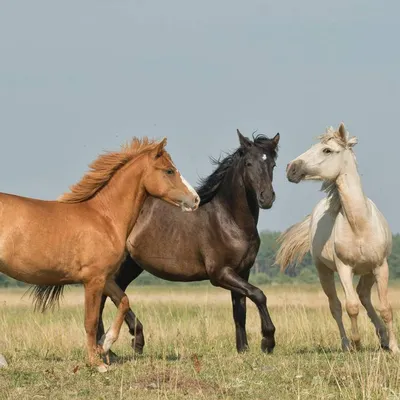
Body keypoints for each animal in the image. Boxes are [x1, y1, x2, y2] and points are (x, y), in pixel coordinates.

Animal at [0, 138, 198, 372]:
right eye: (169, 170)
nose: (195, 199)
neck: (105, 218)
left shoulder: (105, 278)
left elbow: (124, 301)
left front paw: (105, 345)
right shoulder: (93, 280)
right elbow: (91, 321)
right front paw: (97, 363)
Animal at [95, 129, 280, 356]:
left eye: (272, 164)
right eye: (248, 163)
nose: (267, 198)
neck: (228, 220)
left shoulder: (242, 272)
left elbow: (240, 310)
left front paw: (243, 349)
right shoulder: (220, 274)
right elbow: (258, 294)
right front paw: (267, 341)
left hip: (131, 265)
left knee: (112, 294)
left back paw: (115, 346)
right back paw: (120, 343)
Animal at [276, 122, 398, 354]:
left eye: (327, 150)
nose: (290, 168)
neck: (360, 225)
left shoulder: (381, 266)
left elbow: (386, 308)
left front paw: (395, 347)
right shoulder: (344, 268)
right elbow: (351, 307)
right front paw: (357, 343)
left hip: (368, 271)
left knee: (364, 295)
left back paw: (384, 339)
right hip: (324, 271)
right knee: (336, 306)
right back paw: (347, 344)